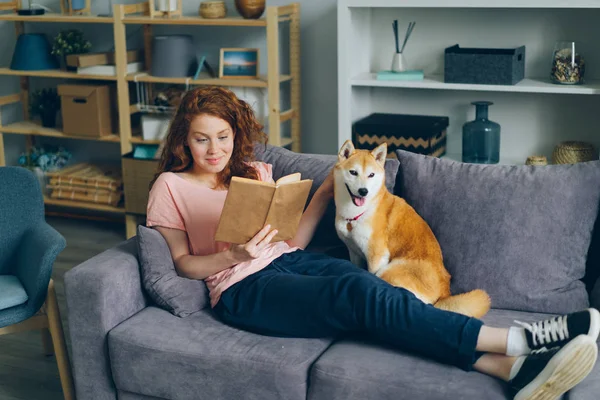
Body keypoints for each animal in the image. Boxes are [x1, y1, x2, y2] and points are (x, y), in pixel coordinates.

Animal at [332, 141, 492, 318]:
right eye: (353, 172)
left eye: (371, 175)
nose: (363, 191)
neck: (357, 214)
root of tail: (444, 294)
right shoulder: (354, 252)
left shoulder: (376, 255)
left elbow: (370, 274)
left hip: (389, 271)